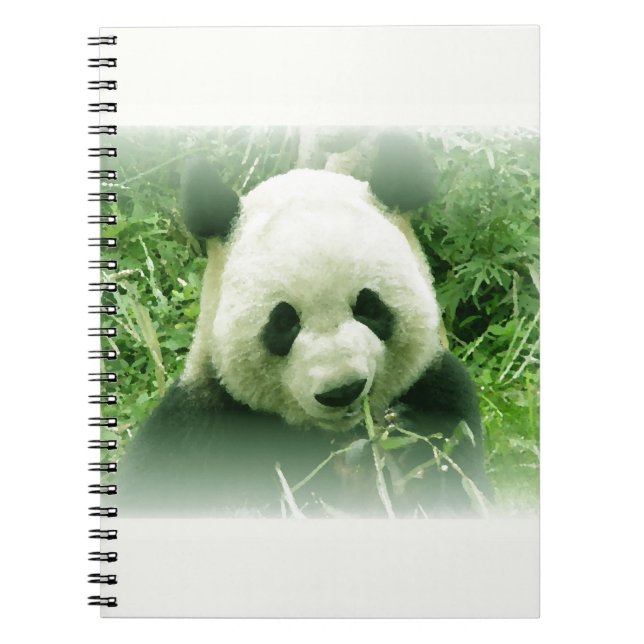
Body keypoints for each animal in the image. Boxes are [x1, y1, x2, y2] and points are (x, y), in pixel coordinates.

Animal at [118, 133, 492, 517]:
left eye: (370, 308)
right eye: (284, 323)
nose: (342, 390)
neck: (334, 436)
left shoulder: (441, 392)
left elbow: (460, 486)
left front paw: (407, 440)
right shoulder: (202, 421)